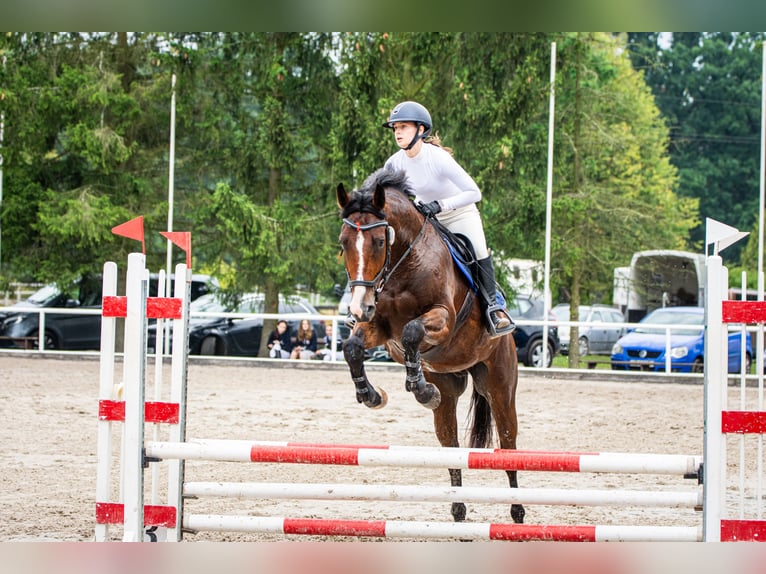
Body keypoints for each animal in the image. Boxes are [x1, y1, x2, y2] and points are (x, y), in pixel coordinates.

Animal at [338, 166, 528, 528]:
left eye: (379, 241)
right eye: (342, 244)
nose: (358, 307)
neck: (402, 264)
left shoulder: (443, 320)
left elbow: (413, 331)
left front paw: (419, 387)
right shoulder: (380, 328)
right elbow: (352, 347)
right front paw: (371, 395)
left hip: (499, 385)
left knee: (508, 444)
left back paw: (517, 511)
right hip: (450, 386)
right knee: (450, 443)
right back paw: (458, 509)